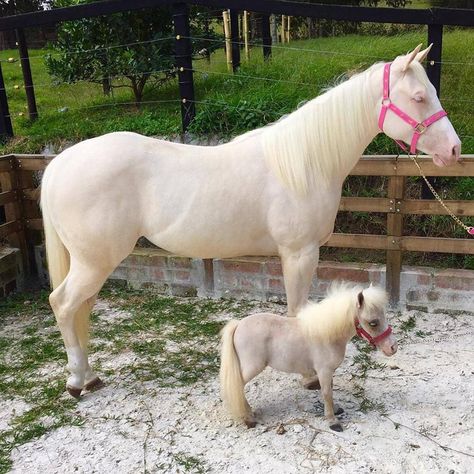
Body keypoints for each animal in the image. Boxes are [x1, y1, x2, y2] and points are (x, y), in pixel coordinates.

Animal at [41, 45, 460, 396]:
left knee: (81, 308)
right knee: (62, 304)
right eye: (419, 97)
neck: (304, 163)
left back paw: (90, 376)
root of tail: (60, 164)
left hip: (93, 263)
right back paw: (76, 381)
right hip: (94, 262)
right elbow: (296, 312)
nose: (454, 150)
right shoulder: (299, 254)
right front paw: (309, 377)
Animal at [221, 284, 396, 432]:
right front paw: (332, 421)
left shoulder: (328, 372)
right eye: (373, 322)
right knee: (237, 386)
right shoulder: (324, 371)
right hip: (252, 367)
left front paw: (336, 410)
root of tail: (238, 325)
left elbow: (330, 389)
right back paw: (248, 417)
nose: (392, 348)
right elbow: (327, 393)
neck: (327, 334)